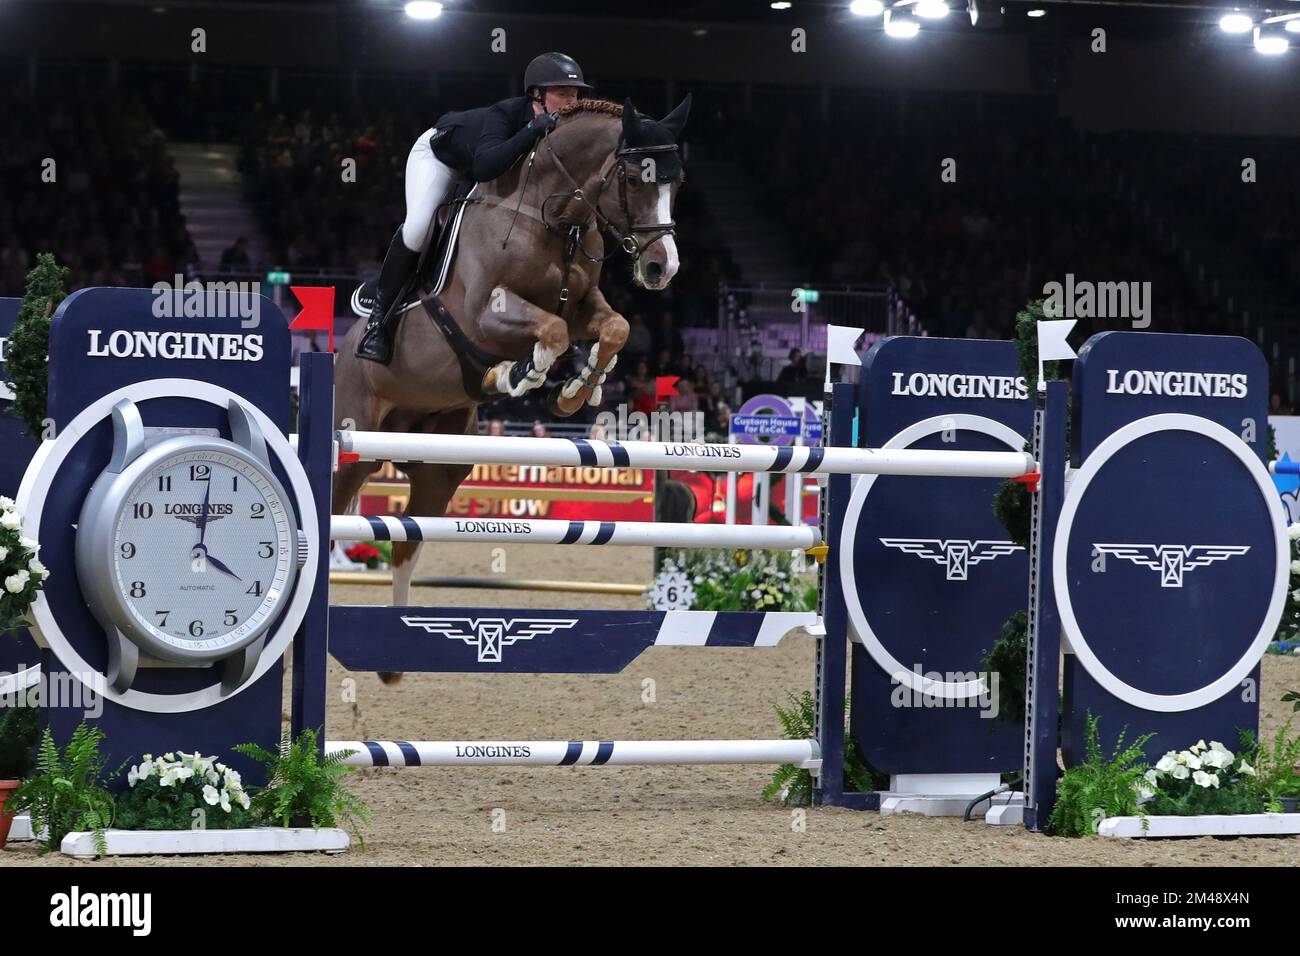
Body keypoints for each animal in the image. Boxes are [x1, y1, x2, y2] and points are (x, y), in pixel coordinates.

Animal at [330, 93, 691, 655]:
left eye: (676, 184)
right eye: (634, 180)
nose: (662, 268)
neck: (554, 216)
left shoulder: (582, 305)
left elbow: (614, 326)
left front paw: (574, 392)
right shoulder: (485, 313)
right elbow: (552, 334)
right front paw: (519, 375)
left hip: (438, 466)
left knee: (406, 548)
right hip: (354, 446)